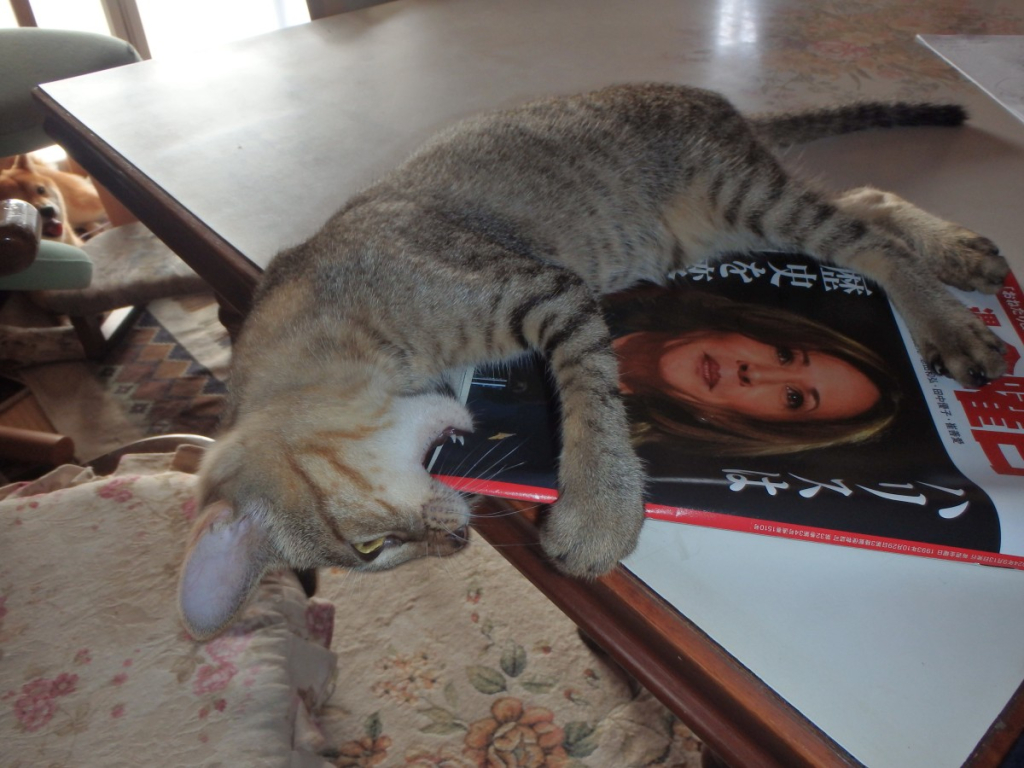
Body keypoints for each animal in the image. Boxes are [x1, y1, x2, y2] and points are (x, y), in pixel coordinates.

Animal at [178, 83, 1007, 638]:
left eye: (369, 548)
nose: (452, 543)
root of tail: (718, 100)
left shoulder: (544, 290)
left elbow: (591, 391)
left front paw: (601, 504)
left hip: (744, 195)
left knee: (869, 240)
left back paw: (949, 316)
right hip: (731, 227)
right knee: (868, 200)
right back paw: (962, 251)